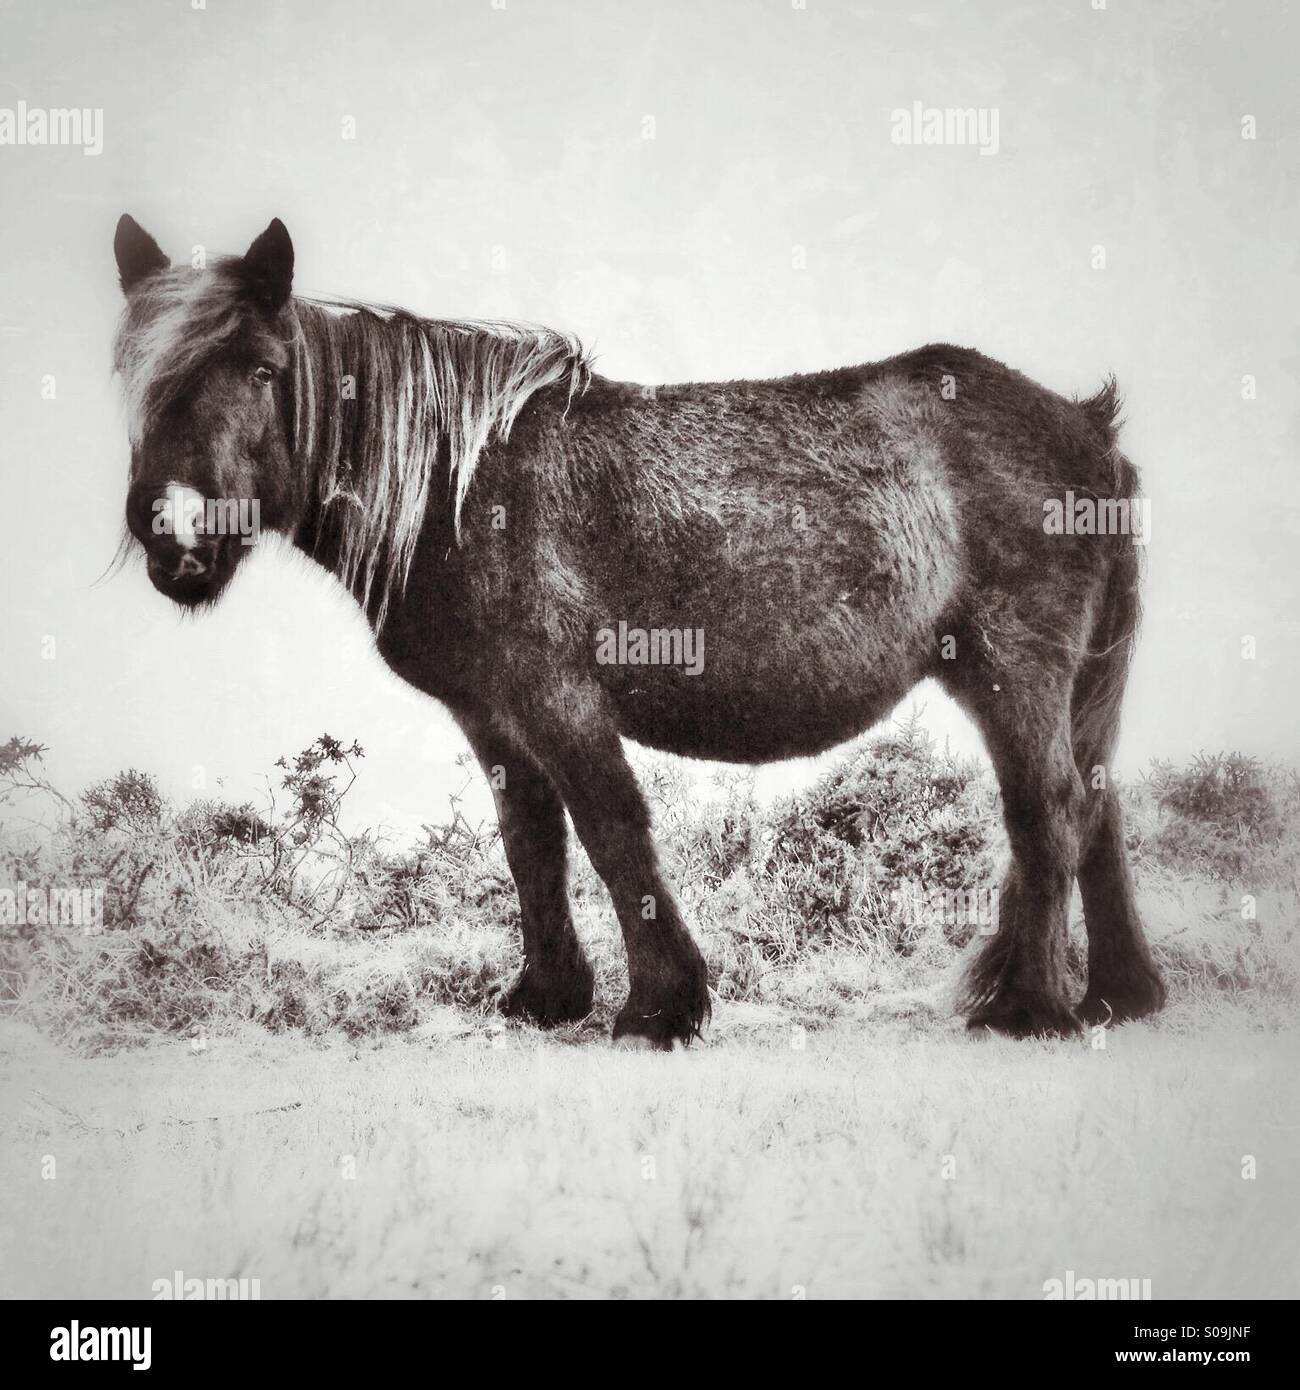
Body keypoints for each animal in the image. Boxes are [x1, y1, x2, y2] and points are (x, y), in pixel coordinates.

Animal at [110, 213, 1166, 1048]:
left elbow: (614, 831)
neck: (463, 490)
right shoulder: (492, 715)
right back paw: (1120, 995)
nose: (175, 536)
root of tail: (1090, 429)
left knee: (1050, 809)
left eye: (263, 370)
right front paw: (545, 997)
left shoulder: (560, 697)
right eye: (135, 381)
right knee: (1096, 805)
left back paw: (1030, 1008)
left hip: (1013, 670)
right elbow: (531, 843)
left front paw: (660, 1008)